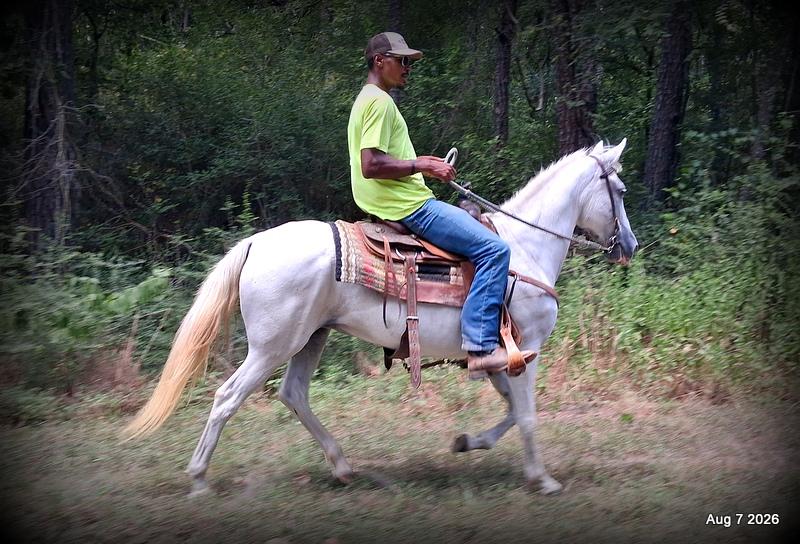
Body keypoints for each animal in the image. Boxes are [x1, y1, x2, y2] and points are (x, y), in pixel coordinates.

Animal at [124, 139, 638, 496]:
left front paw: (468, 442)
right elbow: (527, 415)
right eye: (619, 189)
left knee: (294, 394)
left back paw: (342, 466)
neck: (525, 249)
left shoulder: (498, 358)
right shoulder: (526, 348)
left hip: (311, 338)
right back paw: (198, 479)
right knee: (227, 398)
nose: (629, 246)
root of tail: (255, 243)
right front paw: (542, 479)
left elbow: (513, 411)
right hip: (273, 346)